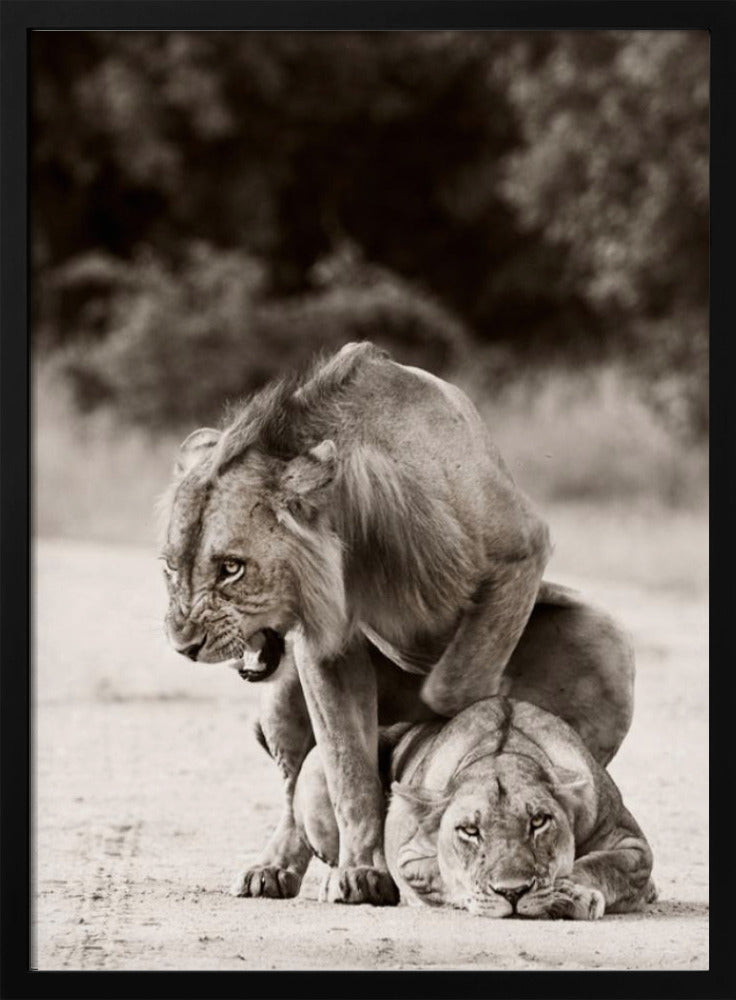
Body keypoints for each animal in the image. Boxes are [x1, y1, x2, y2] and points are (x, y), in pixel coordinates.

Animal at [160, 341, 634, 905]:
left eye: (231, 568)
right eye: (171, 567)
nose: (184, 645)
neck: (353, 529)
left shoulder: (519, 551)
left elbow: (452, 690)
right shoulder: (326, 647)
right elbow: (348, 767)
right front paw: (363, 870)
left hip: (603, 642)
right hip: (280, 696)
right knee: (297, 786)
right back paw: (274, 867)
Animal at [293, 697, 654, 919]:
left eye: (538, 821)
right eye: (469, 830)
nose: (513, 892)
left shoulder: (632, 844)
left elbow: (601, 865)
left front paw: (569, 892)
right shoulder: (409, 856)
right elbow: (446, 875)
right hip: (316, 763)